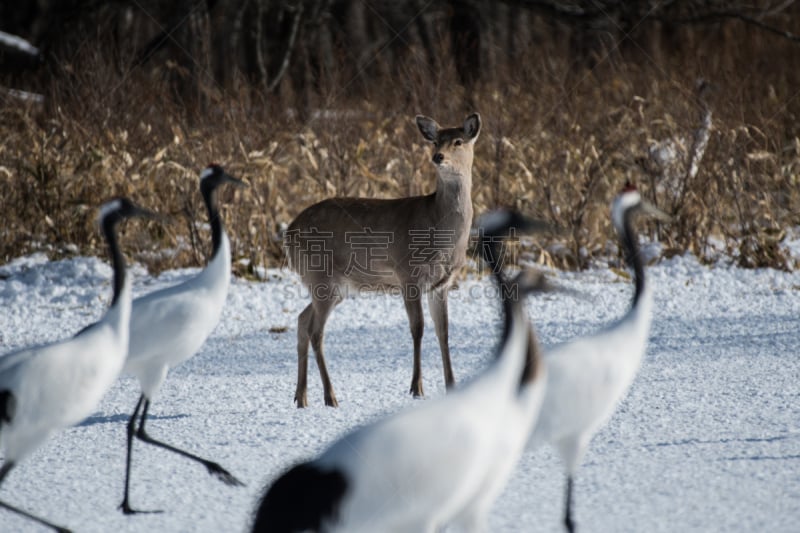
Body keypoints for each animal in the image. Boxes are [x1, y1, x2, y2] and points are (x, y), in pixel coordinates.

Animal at [284, 111, 478, 404]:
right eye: (435, 142)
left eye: (458, 141)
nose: (438, 157)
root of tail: (288, 233)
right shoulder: (408, 273)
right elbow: (418, 328)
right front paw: (416, 387)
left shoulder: (441, 284)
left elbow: (443, 332)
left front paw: (452, 384)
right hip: (320, 275)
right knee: (316, 331)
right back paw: (330, 396)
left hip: (336, 286)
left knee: (301, 320)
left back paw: (301, 397)